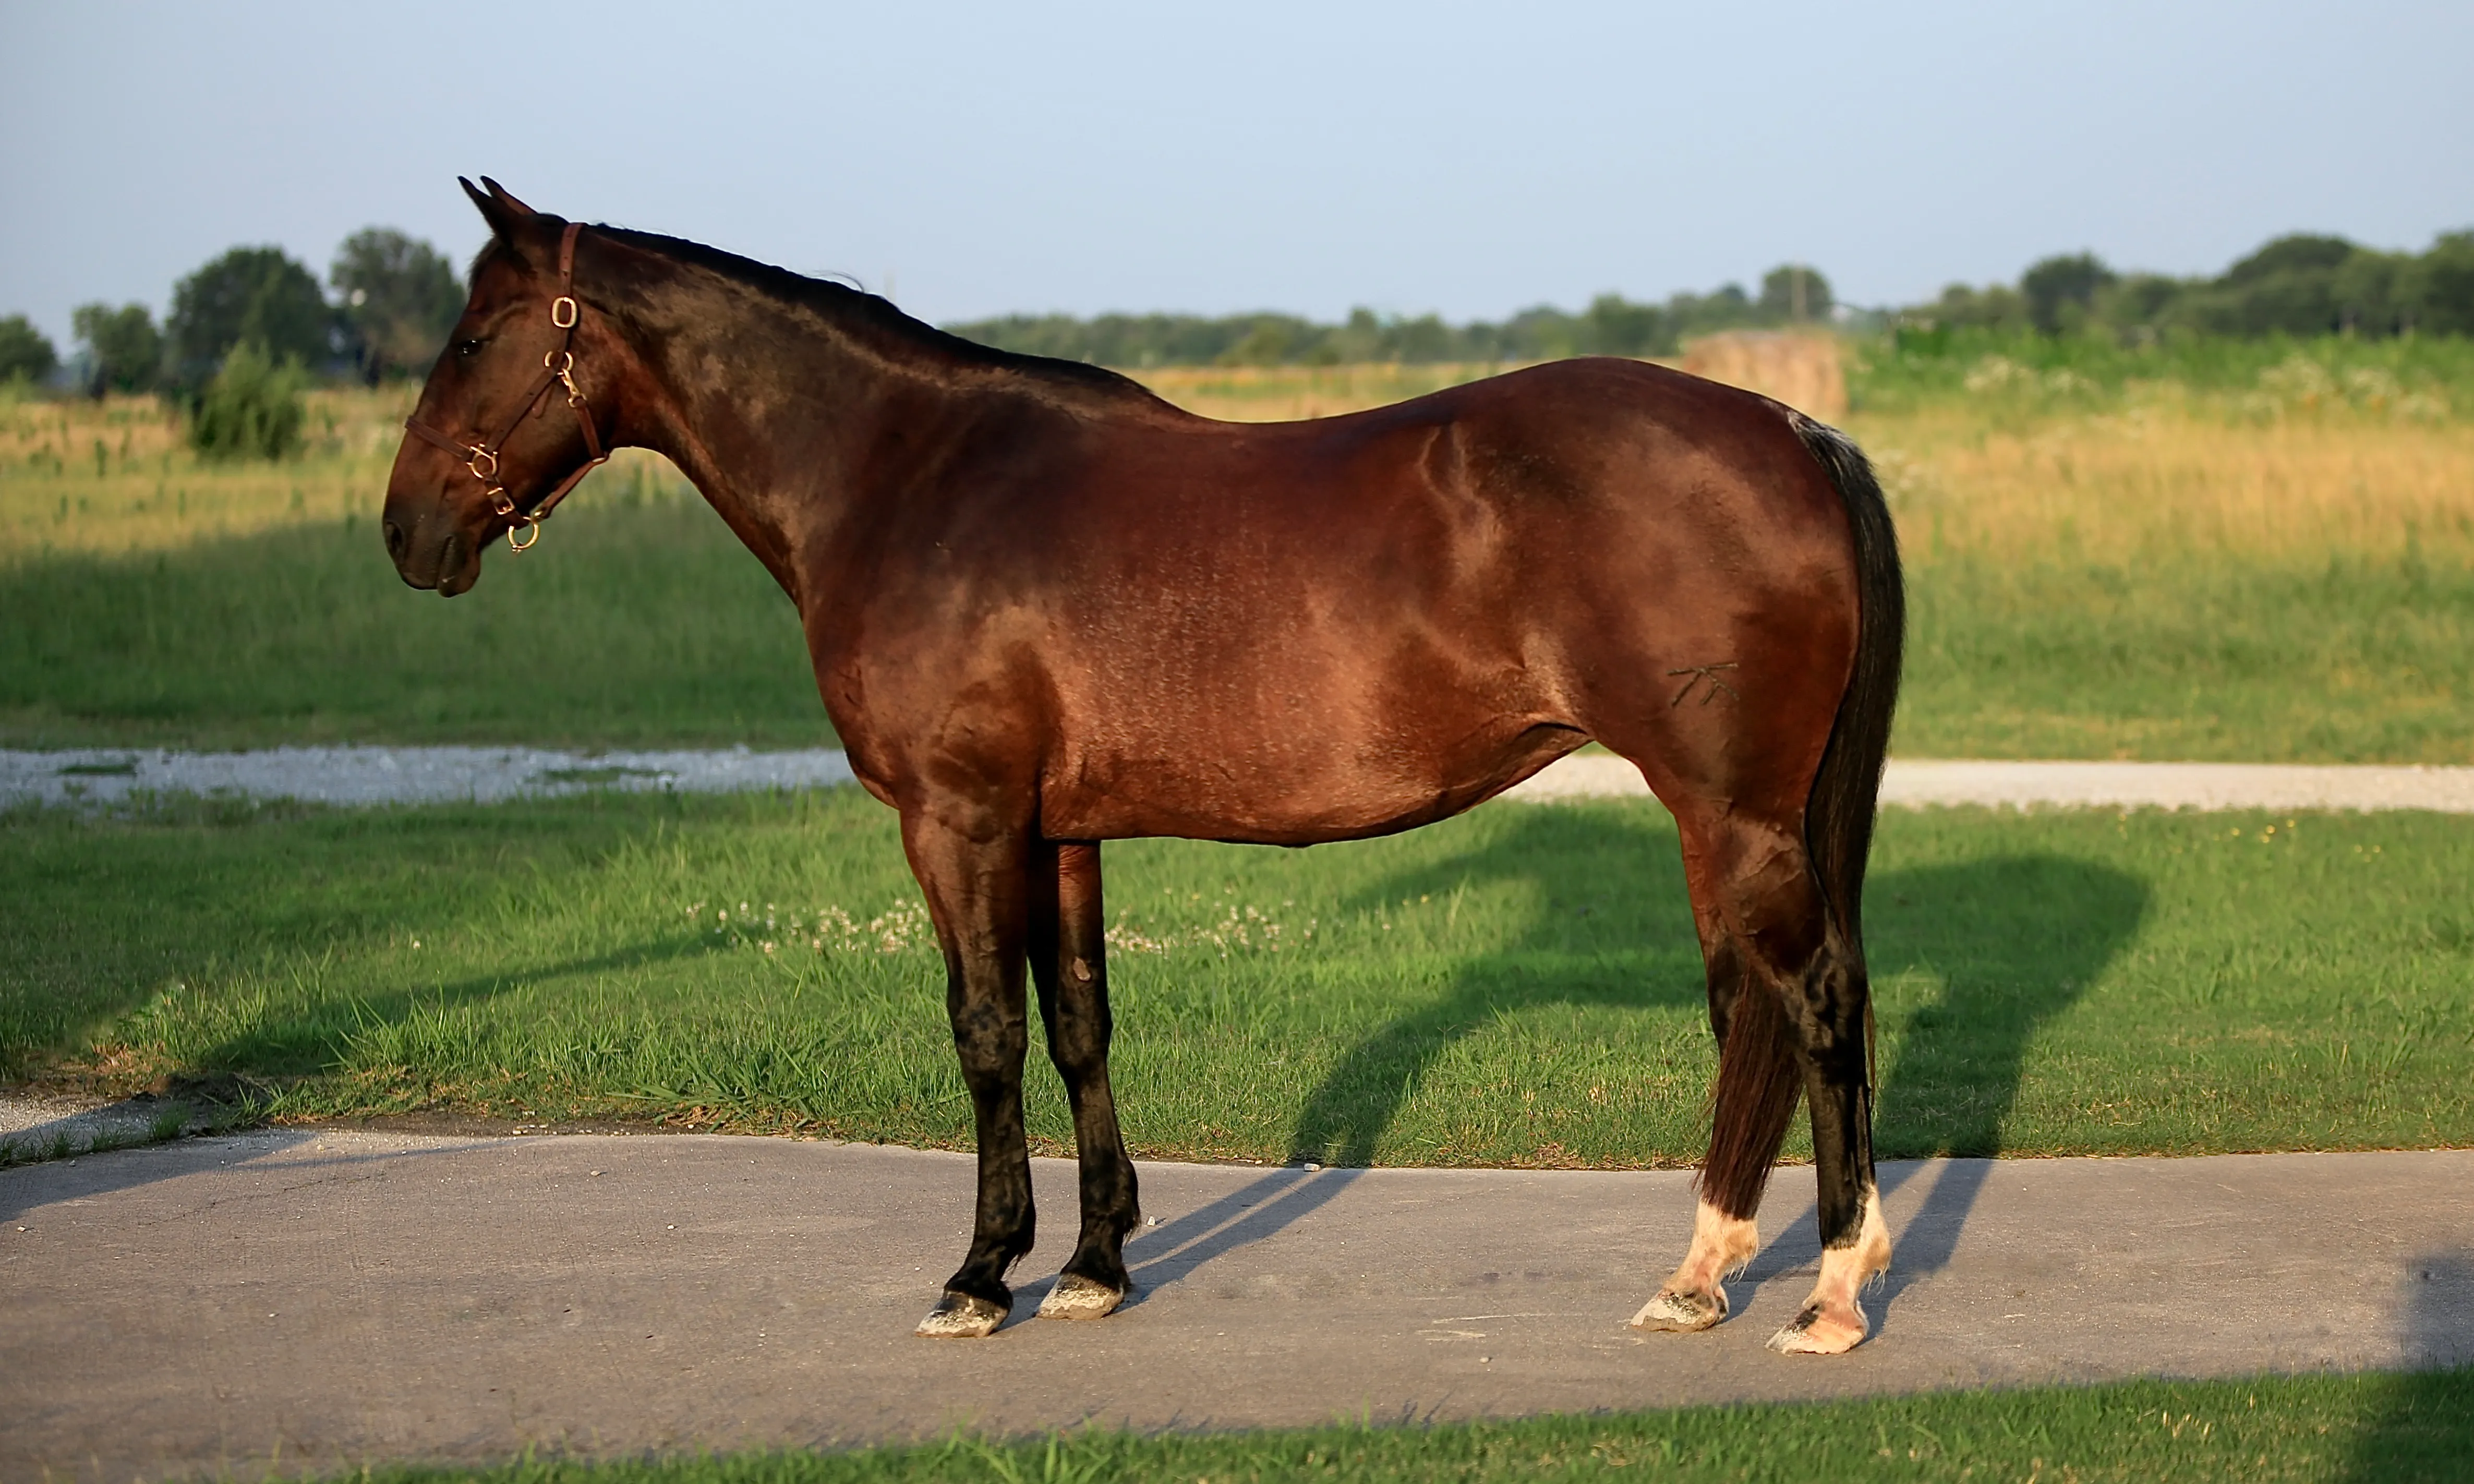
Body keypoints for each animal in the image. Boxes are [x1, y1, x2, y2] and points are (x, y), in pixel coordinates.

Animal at [383, 179, 1905, 1355]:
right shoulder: (1057, 830)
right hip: (1718, 819)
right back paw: (1697, 1277)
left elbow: (984, 1032)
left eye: (472, 336)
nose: (407, 533)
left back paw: (1829, 1292)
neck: (909, 478)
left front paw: (977, 1274)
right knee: (1749, 1013)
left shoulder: (957, 822)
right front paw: (1091, 1266)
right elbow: (1077, 1023)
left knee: (1816, 999)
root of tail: (1790, 430)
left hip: (1735, 814)